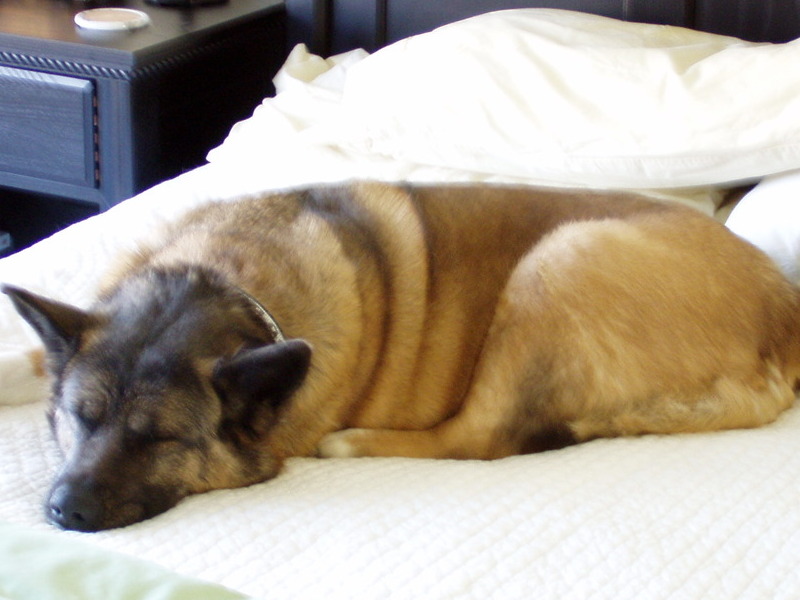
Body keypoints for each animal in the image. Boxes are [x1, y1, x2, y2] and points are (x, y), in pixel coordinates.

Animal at [6, 183, 800, 528]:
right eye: (78, 418)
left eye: (162, 440)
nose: (62, 511)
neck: (222, 278)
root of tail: (783, 313)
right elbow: (23, 360)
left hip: (560, 257)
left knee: (476, 437)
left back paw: (355, 443)